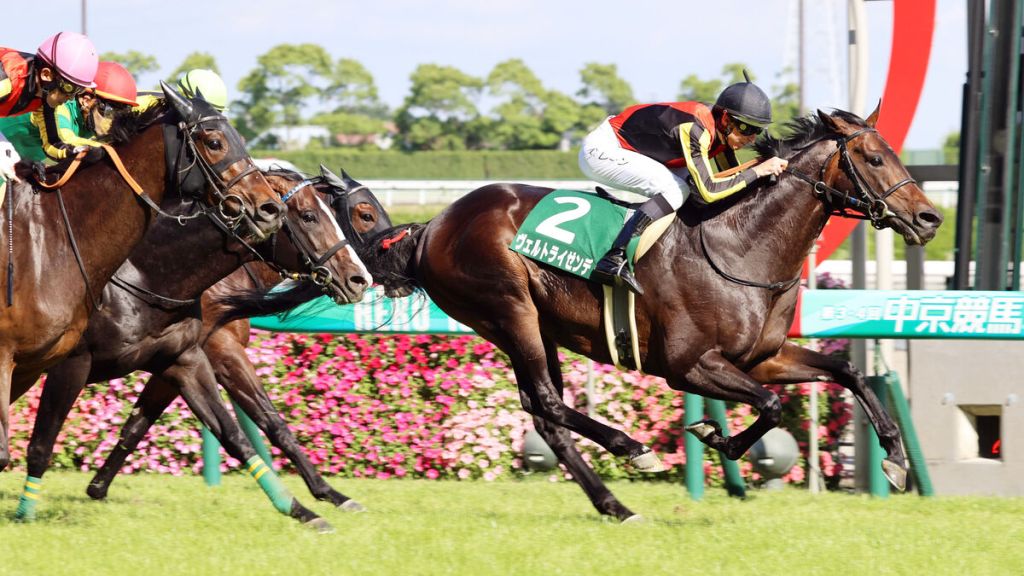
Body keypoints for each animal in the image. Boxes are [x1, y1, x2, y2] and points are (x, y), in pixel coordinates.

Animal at [13, 165, 370, 530]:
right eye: (310, 216)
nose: (359, 278)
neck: (146, 275)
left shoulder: (182, 359)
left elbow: (233, 429)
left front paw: (315, 502)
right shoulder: (215, 351)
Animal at [359, 107, 943, 521]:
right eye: (874, 159)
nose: (930, 218)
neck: (739, 247)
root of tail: (432, 225)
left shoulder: (761, 358)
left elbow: (847, 372)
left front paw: (894, 459)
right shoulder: (688, 365)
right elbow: (773, 406)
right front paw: (717, 437)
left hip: (536, 325)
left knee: (544, 413)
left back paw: (616, 506)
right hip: (510, 311)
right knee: (546, 401)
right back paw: (634, 450)